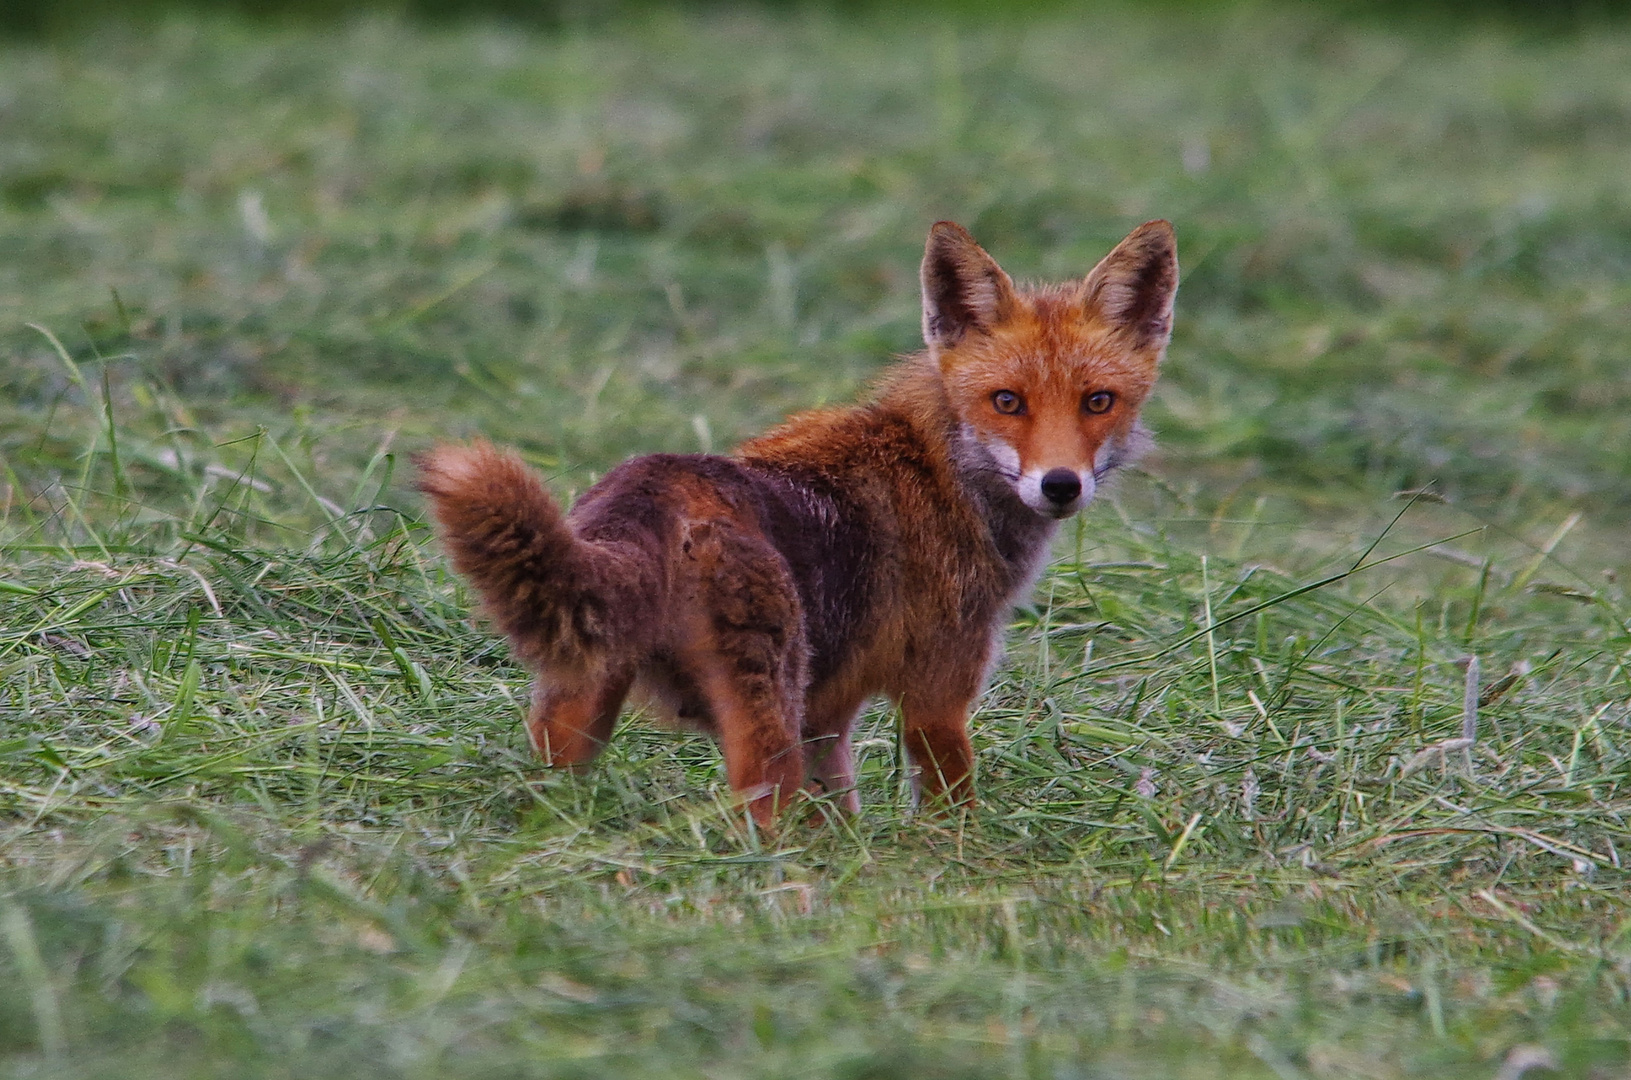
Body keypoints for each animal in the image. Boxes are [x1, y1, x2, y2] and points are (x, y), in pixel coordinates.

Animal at [414, 220, 1180, 828]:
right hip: (762, 726)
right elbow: (948, 808)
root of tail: (648, 489)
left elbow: (839, 814)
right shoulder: (937, 697)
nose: (1060, 485)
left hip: (580, 709)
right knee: (766, 822)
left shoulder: (825, 716)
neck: (940, 468)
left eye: (1098, 401)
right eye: (1007, 401)